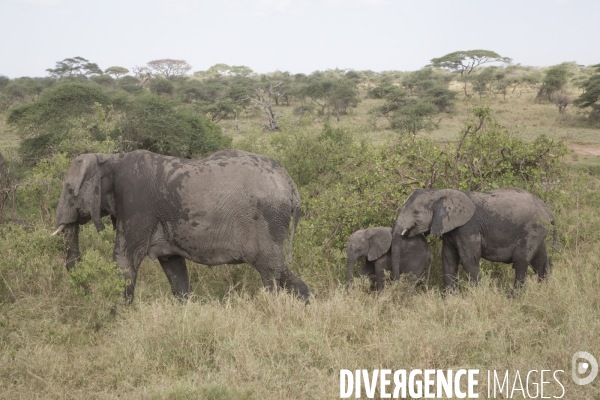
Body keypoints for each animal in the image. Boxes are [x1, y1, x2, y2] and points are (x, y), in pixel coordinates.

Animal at [52, 148, 310, 302]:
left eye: (70, 190)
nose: (86, 293)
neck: (111, 159)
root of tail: (291, 186)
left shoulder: (136, 203)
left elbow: (125, 259)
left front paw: (117, 317)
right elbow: (174, 267)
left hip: (268, 220)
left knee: (270, 274)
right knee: (280, 271)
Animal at [392, 186, 556, 290]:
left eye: (416, 212)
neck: (440, 193)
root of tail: (548, 210)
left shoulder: (468, 227)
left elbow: (468, 260)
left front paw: (477, 295)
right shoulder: (450, 228)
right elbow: (448, 259)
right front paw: (449, 300)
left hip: (532, 229)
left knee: (521, 261)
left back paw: (514, 298)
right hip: (538, 232)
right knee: (540, 261)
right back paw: (544, 291)